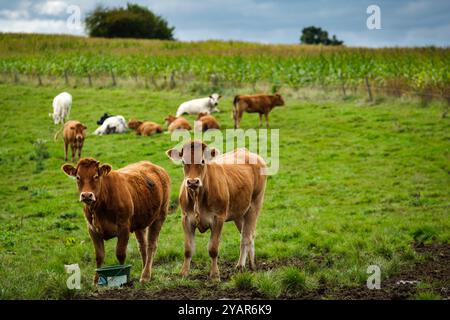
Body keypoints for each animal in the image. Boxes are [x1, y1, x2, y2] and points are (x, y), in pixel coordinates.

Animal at [165, 141, 266, 280]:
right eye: (183, 162)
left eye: (202, 161)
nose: (192, 182)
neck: (198, 198)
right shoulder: (186, 218)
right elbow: (188, 249)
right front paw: (184, 273)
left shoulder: (218, 218)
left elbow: (213, 249)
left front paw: (214, 275)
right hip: (239, 213)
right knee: (247, 234)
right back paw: (250, 264)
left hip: (255, 204)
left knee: (246, 237)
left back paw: (243, 265)